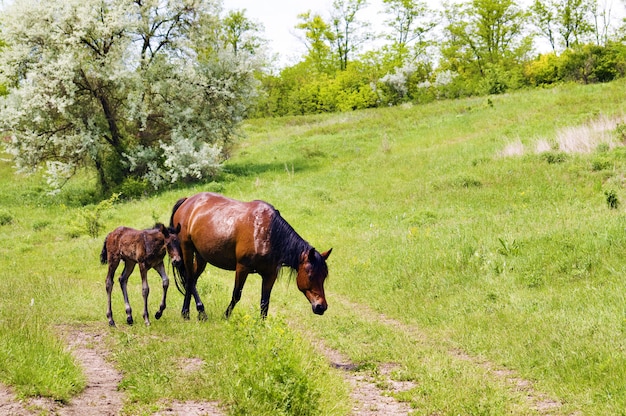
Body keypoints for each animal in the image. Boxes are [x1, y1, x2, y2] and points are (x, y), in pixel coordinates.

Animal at [168, 192, 330, 318]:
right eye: (310, 276)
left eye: (323, 277)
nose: (321, 307)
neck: (268, 234)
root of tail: (187, 201)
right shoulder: (242, 268)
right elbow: (236, 295)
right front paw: (226, 317)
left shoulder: (270, 275)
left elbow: (265, 302)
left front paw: (262, 327)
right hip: (187, 249)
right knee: (189, 278)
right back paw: (195, 312)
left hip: (202, 256)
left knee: (192, 280)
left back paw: (191, 313)